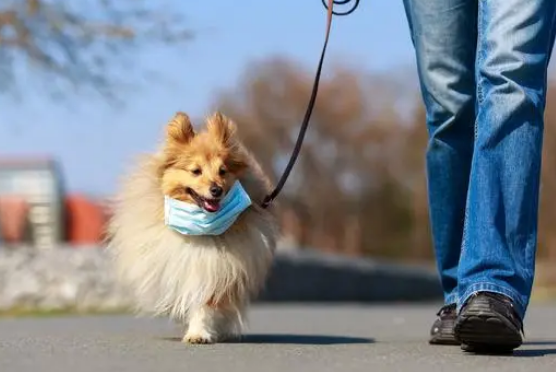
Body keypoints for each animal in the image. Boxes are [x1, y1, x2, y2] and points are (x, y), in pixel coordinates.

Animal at [106, 112, 280, 344]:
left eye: (222, 171)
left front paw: (198, 333)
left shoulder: (217, 269)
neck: (201, 230)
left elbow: (205, 305)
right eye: (196, 171)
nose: (216, 190)